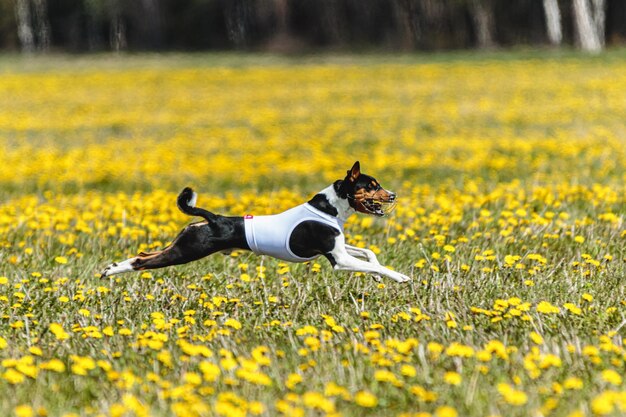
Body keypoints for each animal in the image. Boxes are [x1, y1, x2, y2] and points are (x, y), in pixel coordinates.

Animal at [100, 160, 412, 282]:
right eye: (371, 186)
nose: (393, 194)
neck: (331, 207)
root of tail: (213, 218)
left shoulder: (339, 249)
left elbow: (369, 253)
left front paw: (375, 273)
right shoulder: (338, 259)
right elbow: (379, 265)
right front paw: (398, 276)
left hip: (182, 244)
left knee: (144, 254)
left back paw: (112, 267)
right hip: (187, 251)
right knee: (143, 262)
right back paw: (112, 271)